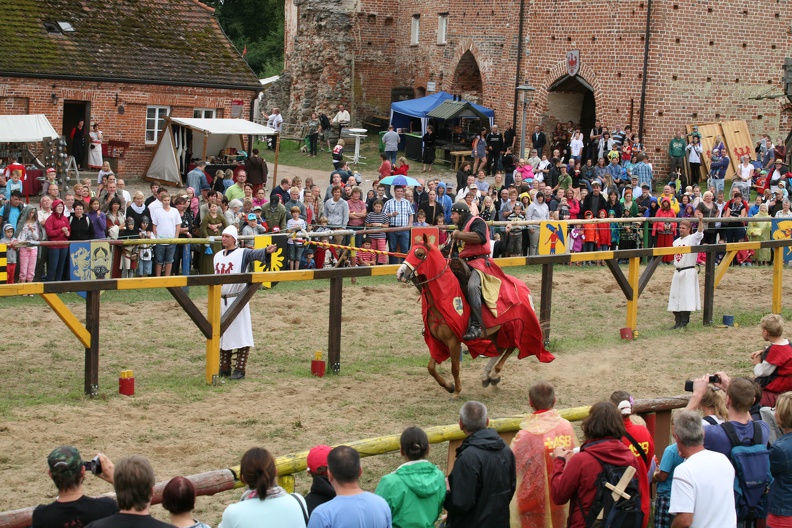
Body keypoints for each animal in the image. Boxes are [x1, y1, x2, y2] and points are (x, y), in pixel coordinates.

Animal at [394, 235, 552, 396]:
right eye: (408, 252)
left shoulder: (453, 341)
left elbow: (455, 368)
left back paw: (494, 374)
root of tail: (524, 287)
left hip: (513, 325)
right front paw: (449, 386)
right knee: (500, 348)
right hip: (493, 331)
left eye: (420, 254)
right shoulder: (437, 341)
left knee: (511, 346)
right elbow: (431, 368)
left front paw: (457, 391)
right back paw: (487, 376)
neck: (442, 299)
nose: (400, 273)